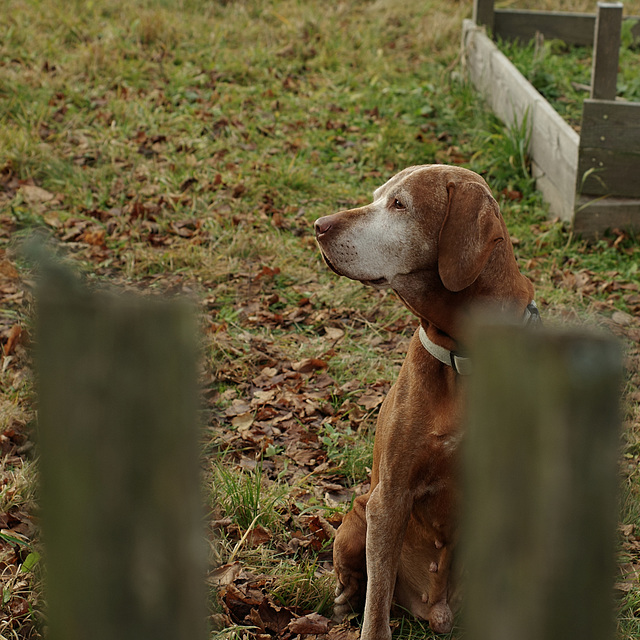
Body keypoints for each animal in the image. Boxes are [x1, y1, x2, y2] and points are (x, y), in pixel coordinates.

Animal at [314, 166, 536, 640]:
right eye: (377, 195)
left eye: (399, 204)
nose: (319, 225)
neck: (464, 357)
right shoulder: (389, 497)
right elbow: (377, 603)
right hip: (358, 517)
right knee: (357, 580)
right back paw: (342, 604)